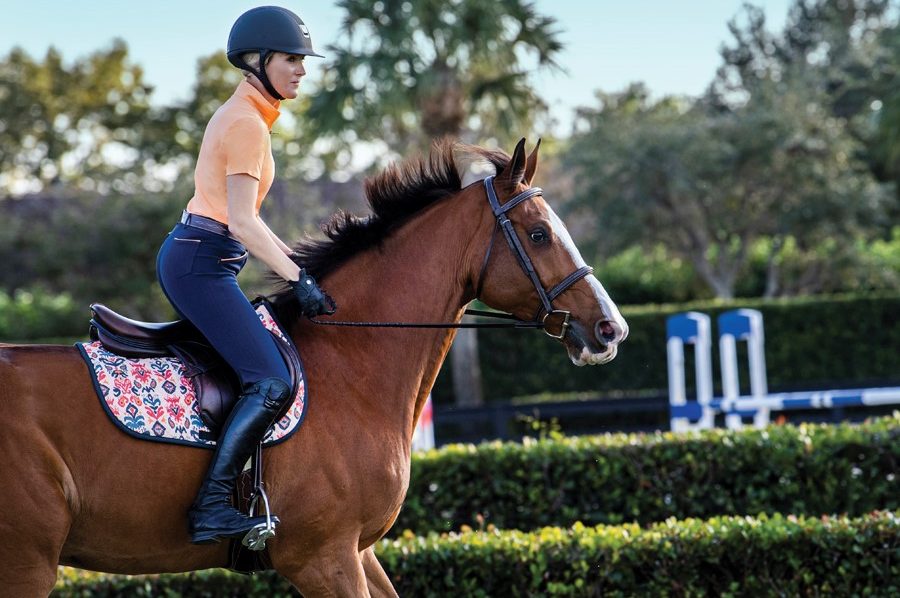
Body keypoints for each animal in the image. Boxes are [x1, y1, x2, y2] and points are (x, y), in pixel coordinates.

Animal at [0, 138, 628, 596]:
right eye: (539, 234)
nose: (610, 329)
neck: (350, 365)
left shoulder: (358, 551)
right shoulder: (323, 558)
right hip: (27, 564)